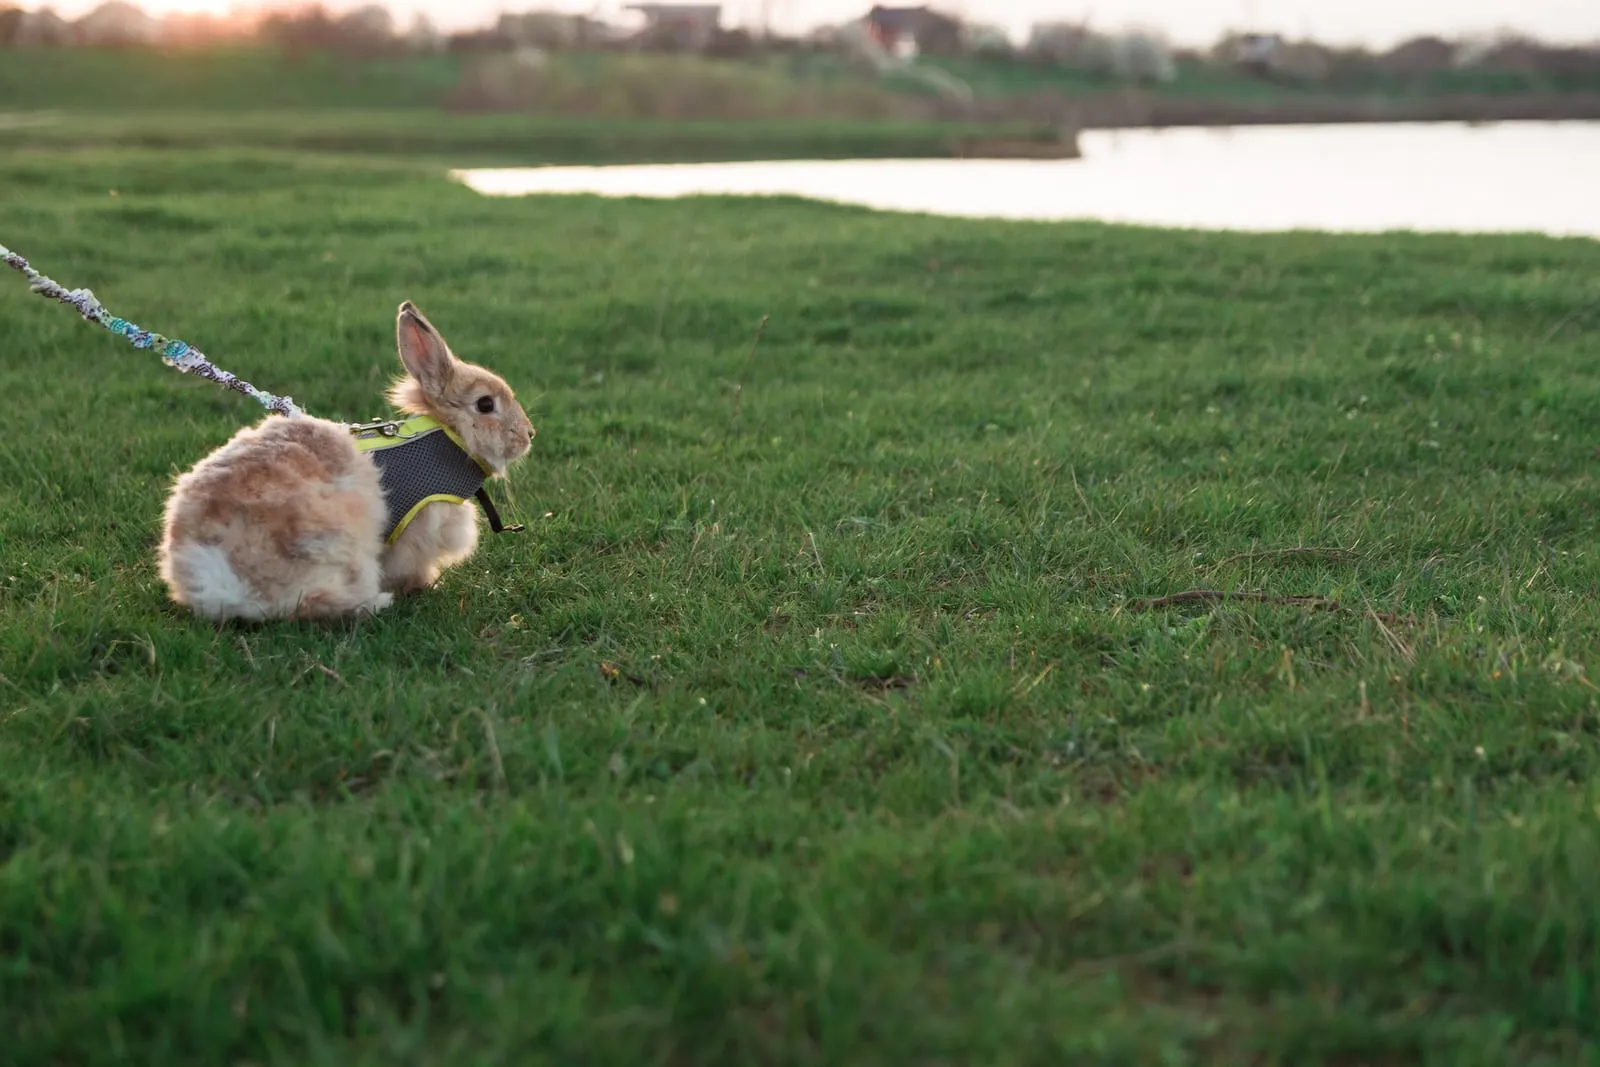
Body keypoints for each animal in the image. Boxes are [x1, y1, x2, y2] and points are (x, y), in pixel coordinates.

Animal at [158, 301, 535, 622]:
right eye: (485, 405)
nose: (529, 434)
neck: (447, 436)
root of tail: (219, 583)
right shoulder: (416, 530)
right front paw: (424, 584)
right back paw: (376, 601)